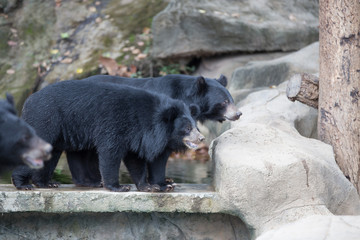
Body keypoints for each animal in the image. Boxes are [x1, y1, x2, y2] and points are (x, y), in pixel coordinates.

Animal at [11, 80, 204, 191]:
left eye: (196, 127)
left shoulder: (146, 137)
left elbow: (143, 159)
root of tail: (28, 100)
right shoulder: (116, 123)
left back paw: (49, 183)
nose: (201, 139)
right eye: (187, 128)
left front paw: (156, 185)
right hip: (46, 119)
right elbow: (111, 152)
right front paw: (119, 187)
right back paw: (24, 185)